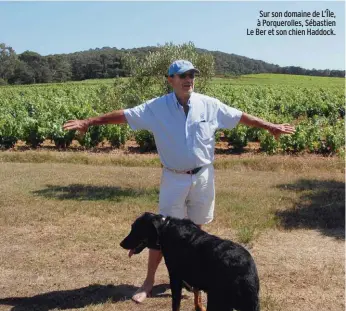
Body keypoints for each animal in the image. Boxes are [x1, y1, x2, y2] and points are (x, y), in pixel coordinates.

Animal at [120, 213, 258, 310]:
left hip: (217, 300)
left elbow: (176, 304)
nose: (121, 244)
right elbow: (196, 294)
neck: (164, 228)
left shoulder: (175, 277)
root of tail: (244, 271)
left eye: (135, 229)